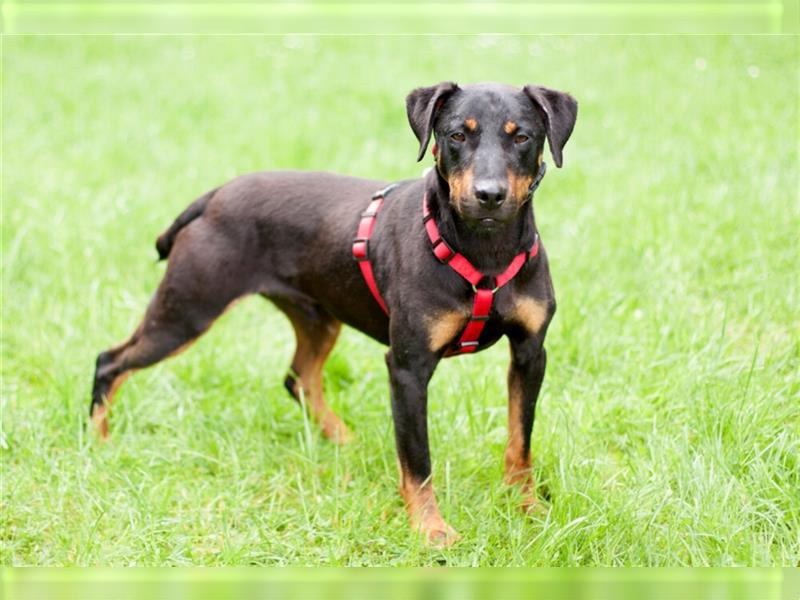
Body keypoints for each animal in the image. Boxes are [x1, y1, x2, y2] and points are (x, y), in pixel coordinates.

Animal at [92, 82, 576, 548]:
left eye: (522, 137)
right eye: (457, 134)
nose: (489, 195)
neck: (485, 254)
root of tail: (214, 197)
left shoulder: (530, 353)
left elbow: (520, 440)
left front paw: (526, 506)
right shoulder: (408, 367)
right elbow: (417, 460)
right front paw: (431, 529)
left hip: (317, 317)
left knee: (299, 377)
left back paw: (344, 440)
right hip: (187, 311)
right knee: (111, 361)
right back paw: (99, 441)